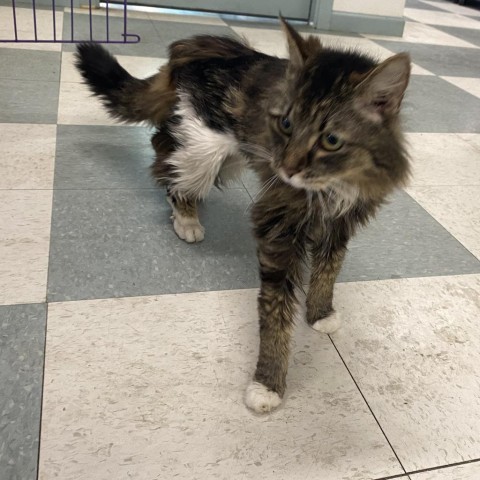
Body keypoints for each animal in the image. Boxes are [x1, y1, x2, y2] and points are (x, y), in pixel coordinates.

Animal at [75, 18, 408, 412]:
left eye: (331, 141)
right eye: (286, 124)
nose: (285, 167)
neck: (334, 185)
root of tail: (197, 47)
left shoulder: (341, 223)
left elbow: (328, 270)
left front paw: (320, 314)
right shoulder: (277, 227)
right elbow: (275, 314)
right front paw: (268, 385)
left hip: (228, 152)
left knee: (161, 144)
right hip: (207, 148)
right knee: (166, 160)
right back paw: (186, 217)